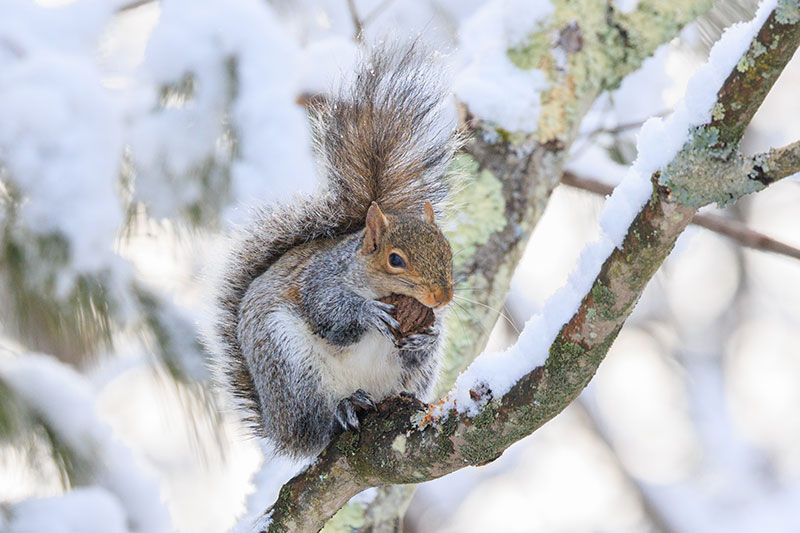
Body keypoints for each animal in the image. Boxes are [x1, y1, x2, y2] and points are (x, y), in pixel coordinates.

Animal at [212, 46, 462, 458]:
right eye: (395, 260)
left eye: (448, 252)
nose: (442, 297)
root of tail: (280, 429)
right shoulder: (319, 278)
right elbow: (328, 312)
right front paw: (367, 312)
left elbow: (424, 340)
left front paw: (426, 336)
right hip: (289, 365)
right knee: (318, 423)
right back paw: (342, 409)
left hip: (409, 379)